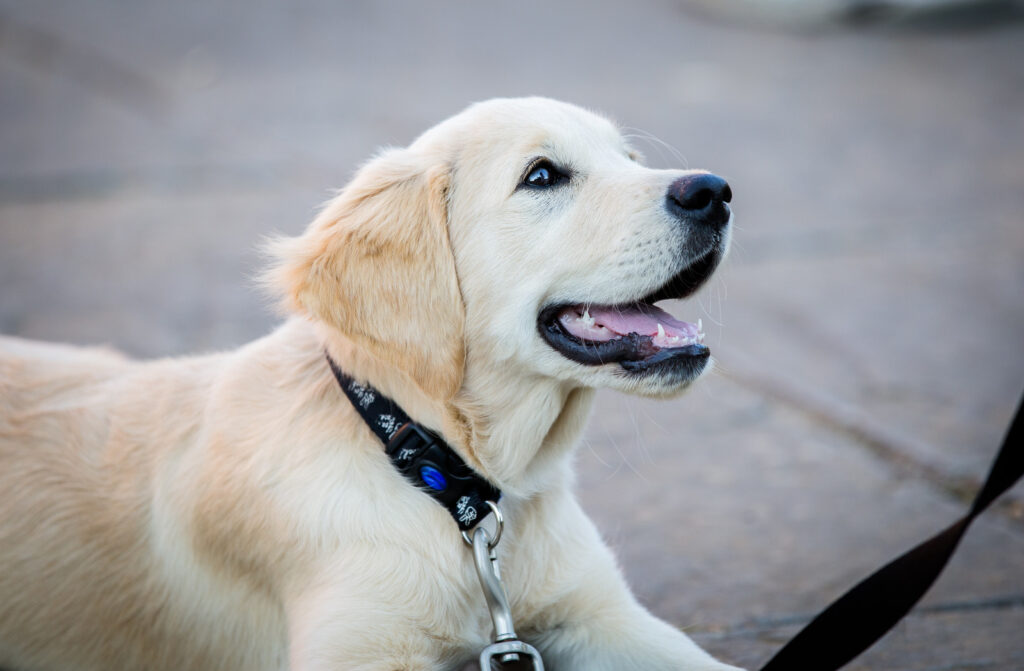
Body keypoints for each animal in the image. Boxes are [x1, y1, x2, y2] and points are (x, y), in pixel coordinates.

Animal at [0, 98, 737, 671]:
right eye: (542, 175)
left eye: (631, 158)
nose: (715, 191)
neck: (442, 479)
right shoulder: (361, 646)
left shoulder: (601, 613)